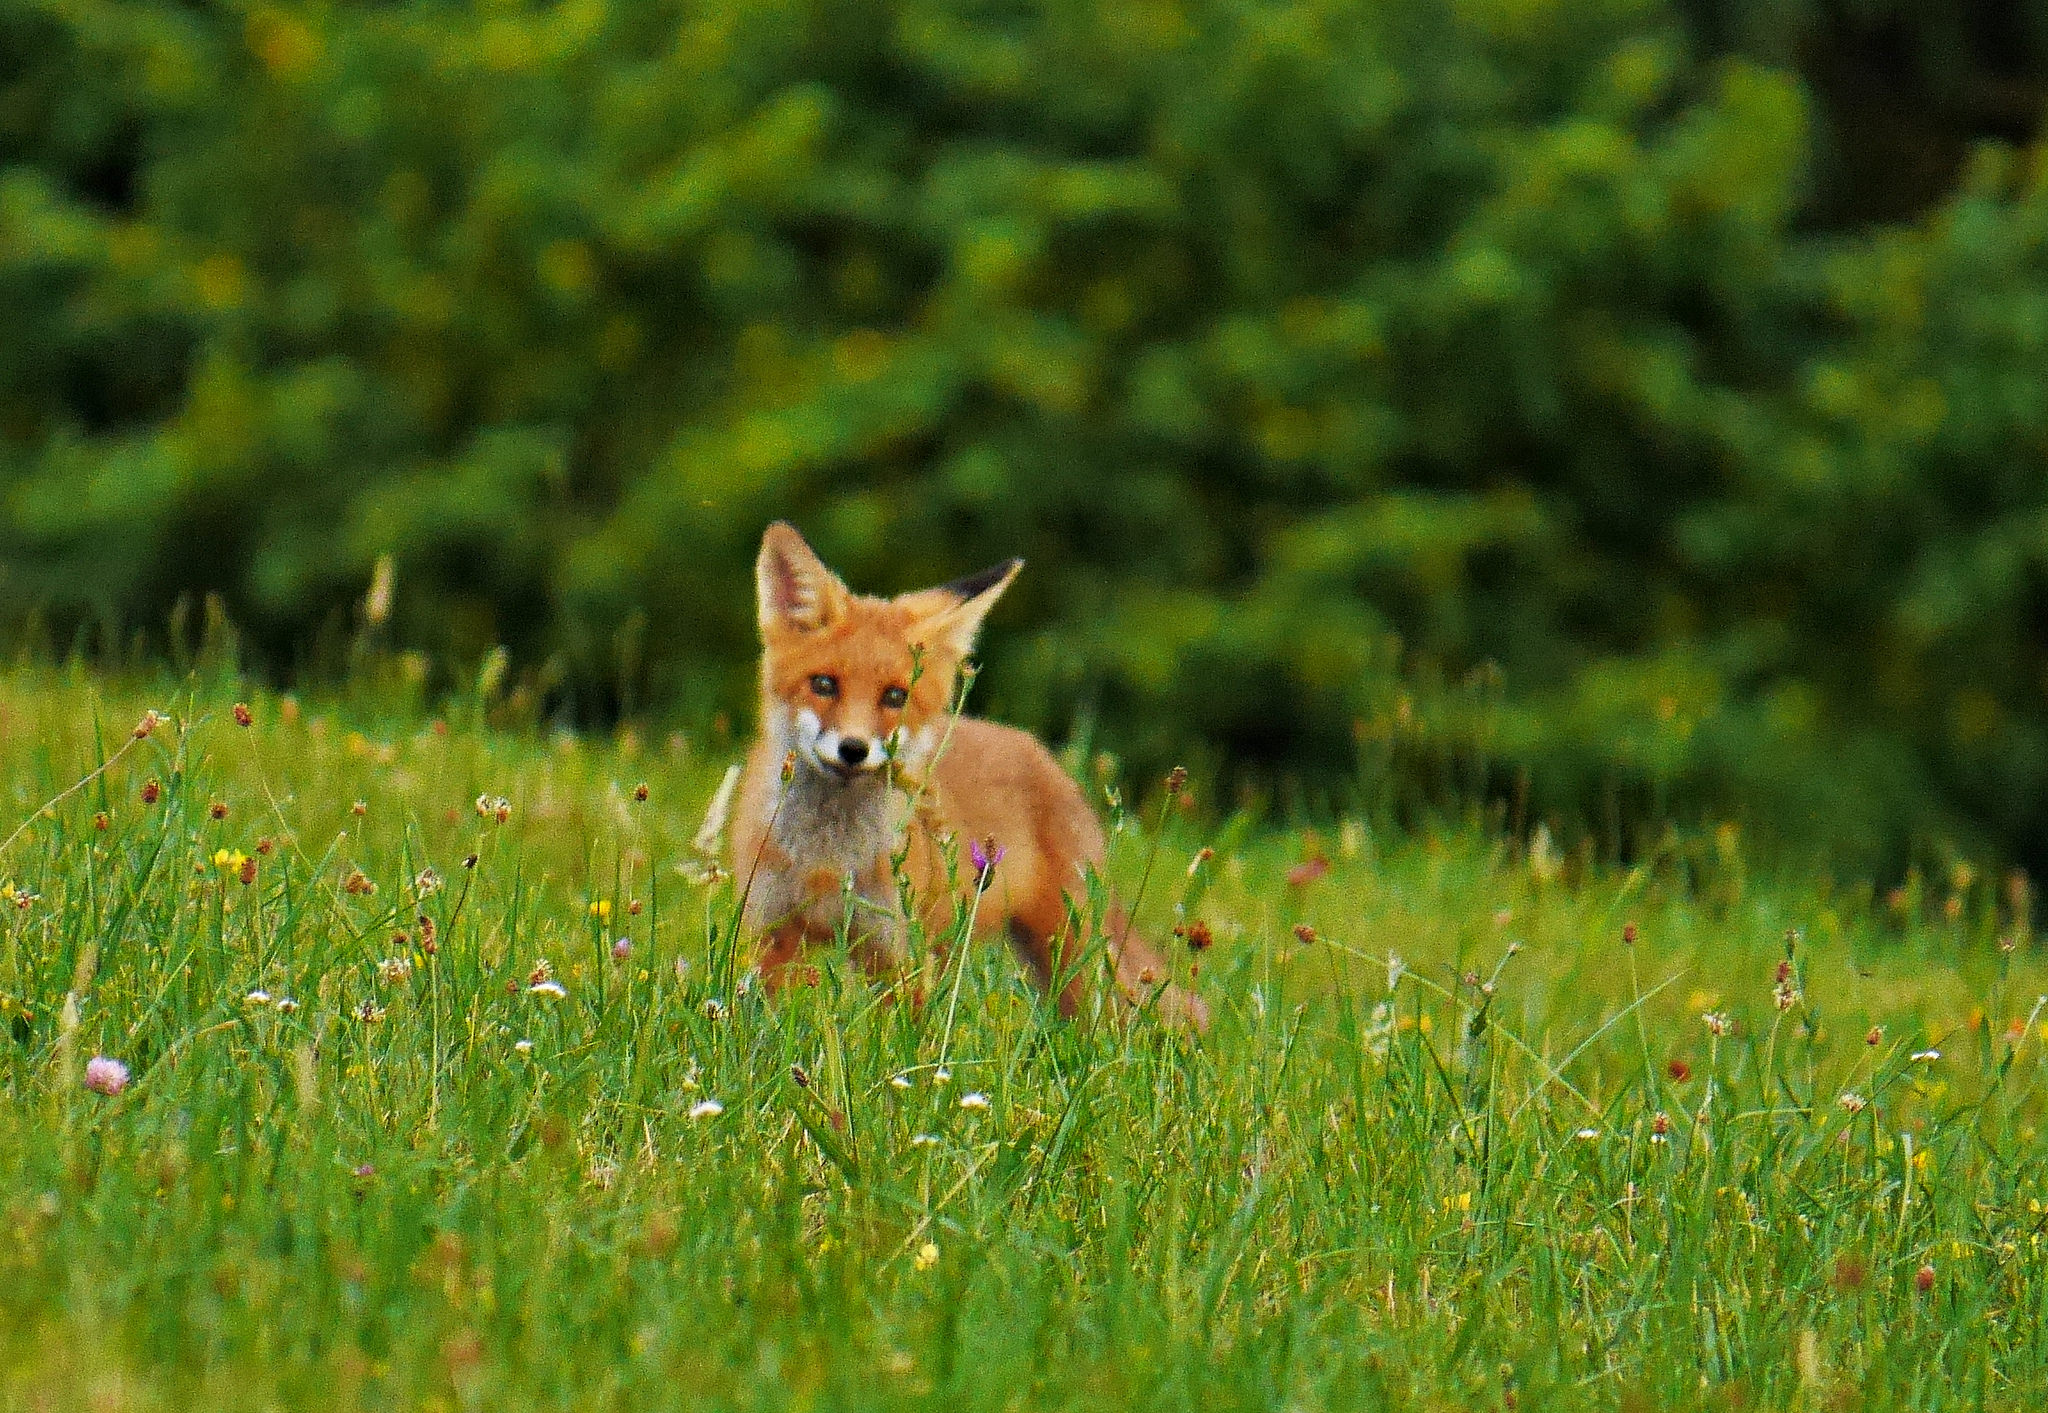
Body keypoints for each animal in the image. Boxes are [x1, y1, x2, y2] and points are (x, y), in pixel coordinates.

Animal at [730, 521, 1208, 1030]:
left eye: (895, 696)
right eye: (823, 684)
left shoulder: (895, 952)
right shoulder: (770, 933)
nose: (853, 749)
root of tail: (1044, 754)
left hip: (1065, 950)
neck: (826, 861)